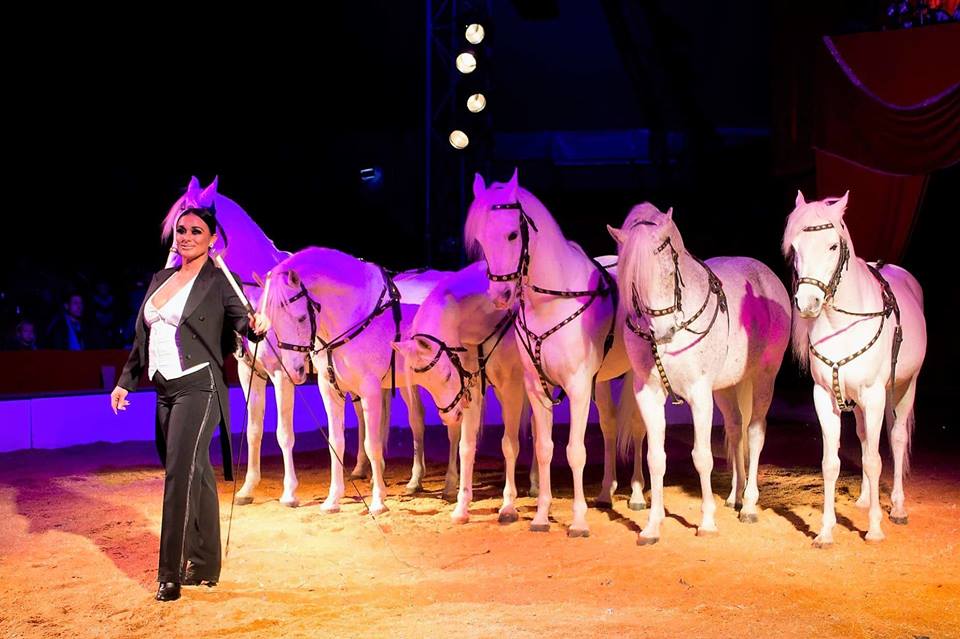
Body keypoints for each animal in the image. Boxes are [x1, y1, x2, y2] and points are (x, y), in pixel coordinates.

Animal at [262, 246, 458, 516]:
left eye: (301, 318)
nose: (294, 370)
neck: (354, 315)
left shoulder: (370, 389)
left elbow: (372, 444)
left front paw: (378, 502)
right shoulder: (329, 389)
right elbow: (336, 442)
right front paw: (333, 499)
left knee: (456, 425)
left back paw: (450, 485)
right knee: (418, 420)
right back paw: (415, 481)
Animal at [464, 170, 644, 540]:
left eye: (512, 234)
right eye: (481, 240)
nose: (500, 295)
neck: (552, 301)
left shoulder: (577, 386)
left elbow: (575, 451)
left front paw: (578, 521)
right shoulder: (538, 387)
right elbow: (544, 448)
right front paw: (541, 516)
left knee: (636, 426)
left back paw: (635, 494)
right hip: (600, 382)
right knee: (609, 425)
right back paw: (606, 492)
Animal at [612, 205, 792, 544]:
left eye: (670, 273)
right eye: (633, 282)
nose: (663, 331)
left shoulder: (699, 395)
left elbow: (703, 456)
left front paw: (707, 522)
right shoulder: (649, 395)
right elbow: (656, 457)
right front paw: (652, 525)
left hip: (764, 378)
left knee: (754, 433)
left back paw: (749, 504)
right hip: (725, 388)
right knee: (735, 428)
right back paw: (735, 495)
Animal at [784, 190, 928, 544]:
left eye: (832, 247)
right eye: (795, 247)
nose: (807, 303)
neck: (842, 325)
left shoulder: (875, 395)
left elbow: (876, 460)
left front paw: (875, 528)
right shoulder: (824, 397)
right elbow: (831, 463)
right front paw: (825, 530)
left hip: (904, 387)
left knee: (896, 439)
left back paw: (897, 508)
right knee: (865, 438)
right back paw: (864, 499)